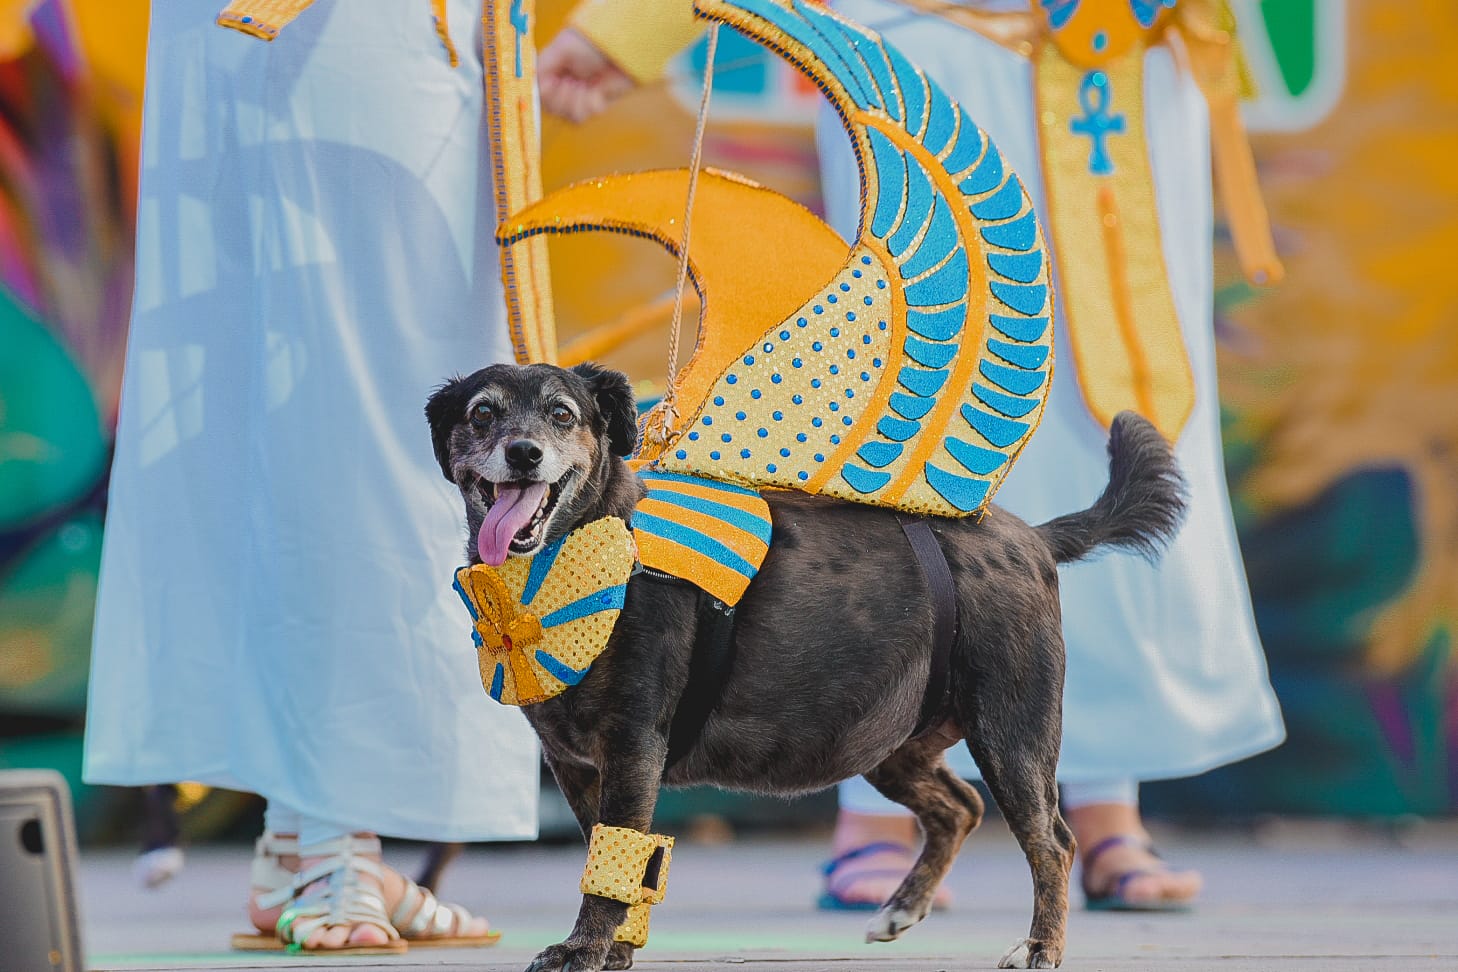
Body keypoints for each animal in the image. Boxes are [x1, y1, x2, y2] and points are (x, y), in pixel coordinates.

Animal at [422, 361, 1183, 967]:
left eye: (562, 414)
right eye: (482, 412)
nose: (523, 453)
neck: (571, 564)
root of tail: (1032, 538)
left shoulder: (633, 747)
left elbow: (611, 864)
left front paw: (584, 950)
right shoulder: (577, 765)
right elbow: (614, 859)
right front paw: (617, 949)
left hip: (1012, 735)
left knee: (1052, 843)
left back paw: (1041, 947)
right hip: (890, 744)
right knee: (960, 807)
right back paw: (902, 907)